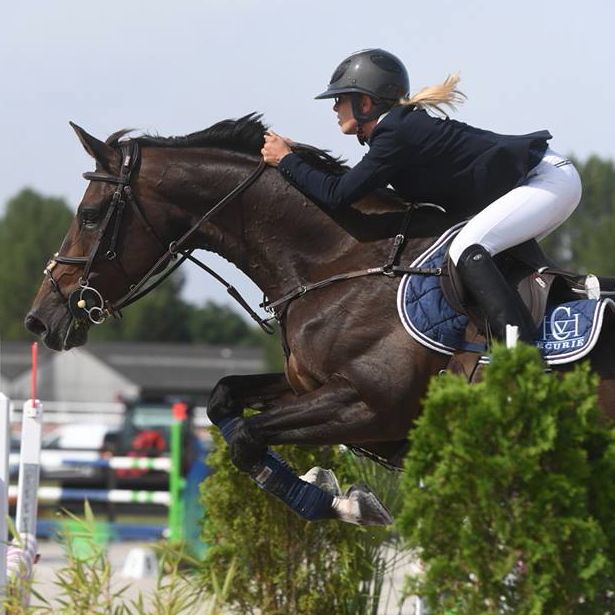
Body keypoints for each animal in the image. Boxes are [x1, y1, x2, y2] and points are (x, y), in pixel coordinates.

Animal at [24, 114, 615, 524]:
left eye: (89, 216)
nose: (40, 320)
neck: (341, 260)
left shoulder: (368, 405)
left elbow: (247, 437)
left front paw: (343, 503)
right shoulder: (307, 385)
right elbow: (223, 401)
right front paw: (337, 494)